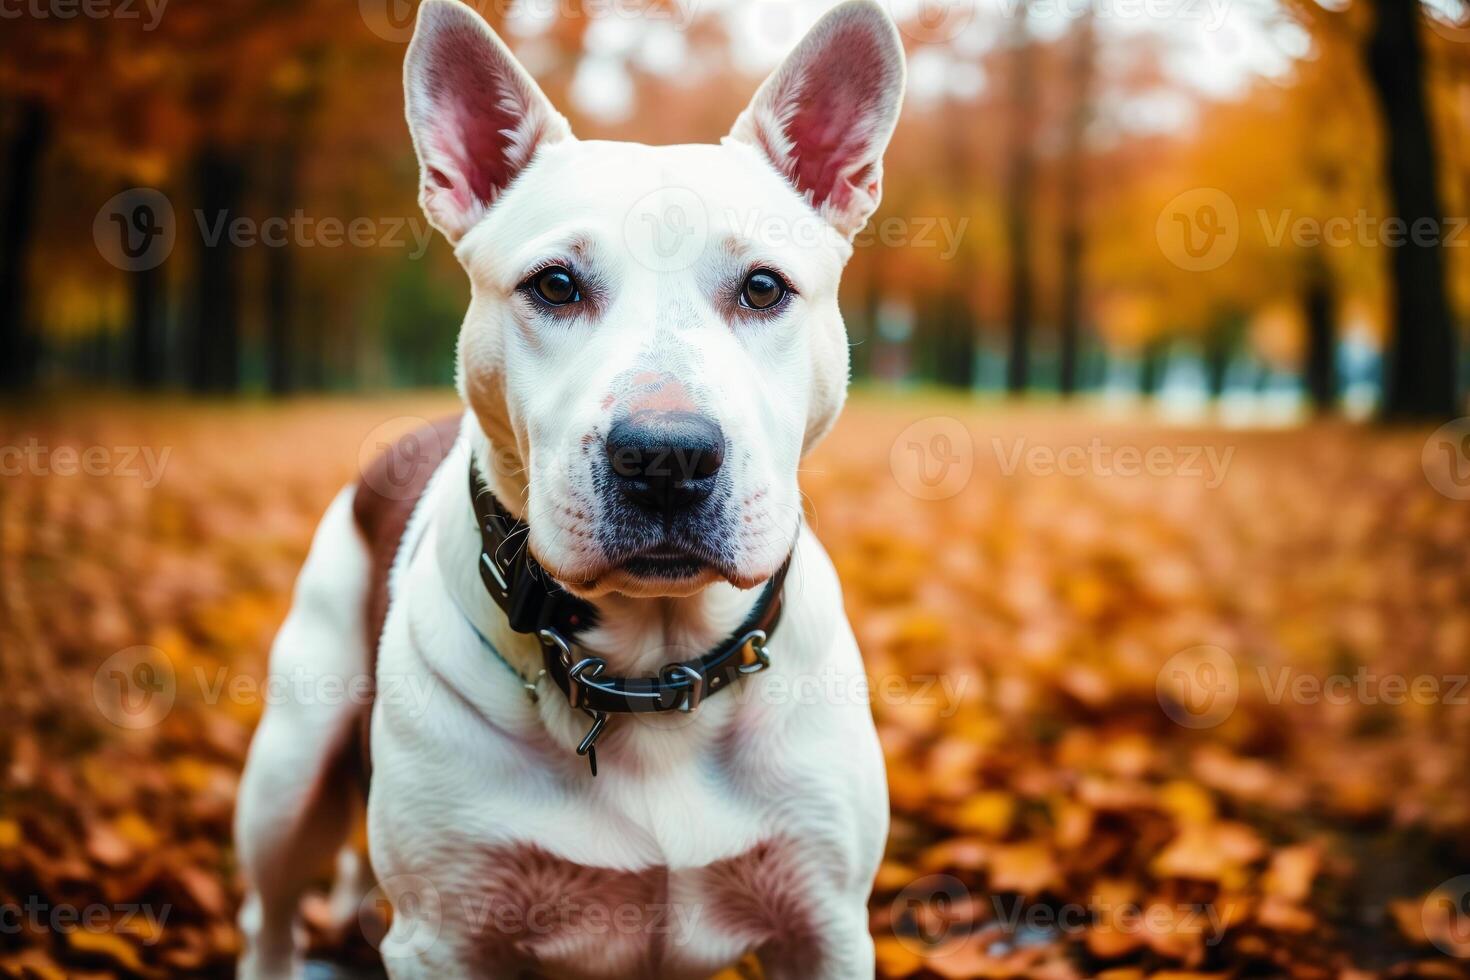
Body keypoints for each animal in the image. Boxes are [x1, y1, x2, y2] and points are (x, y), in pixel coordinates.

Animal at [238, 3, 905, 975]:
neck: (650, 667)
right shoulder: (443, 937)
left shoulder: (825, 925)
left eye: (763, 288)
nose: (665, 457)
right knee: (270, 910)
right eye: (554, 284)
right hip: (289, 767)